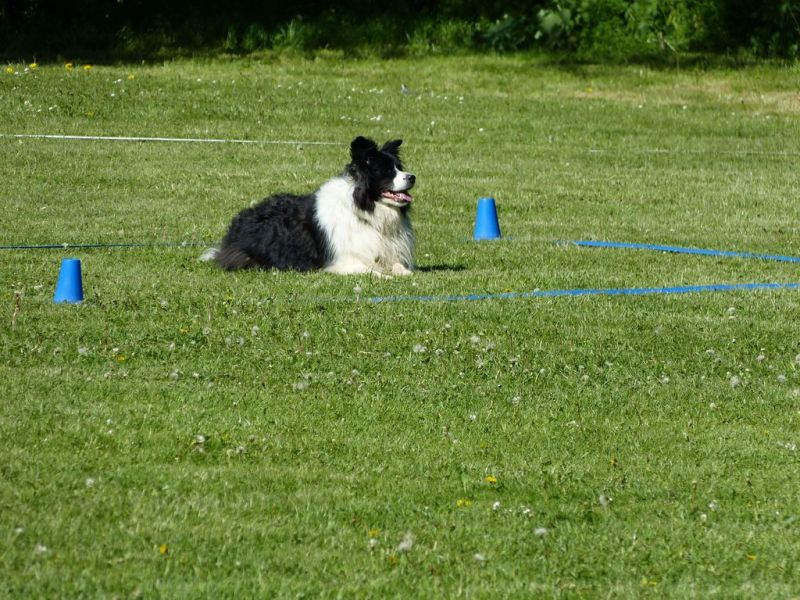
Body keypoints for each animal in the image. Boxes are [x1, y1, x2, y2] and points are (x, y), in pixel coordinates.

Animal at [202, 136, 416, 277]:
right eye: (387, 171)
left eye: (399, 168)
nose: (412, 177)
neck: (363, 209)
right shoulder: (341, 261)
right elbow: (369, 269)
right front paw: (385, 276)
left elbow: (399, 267)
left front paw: (403, 272)